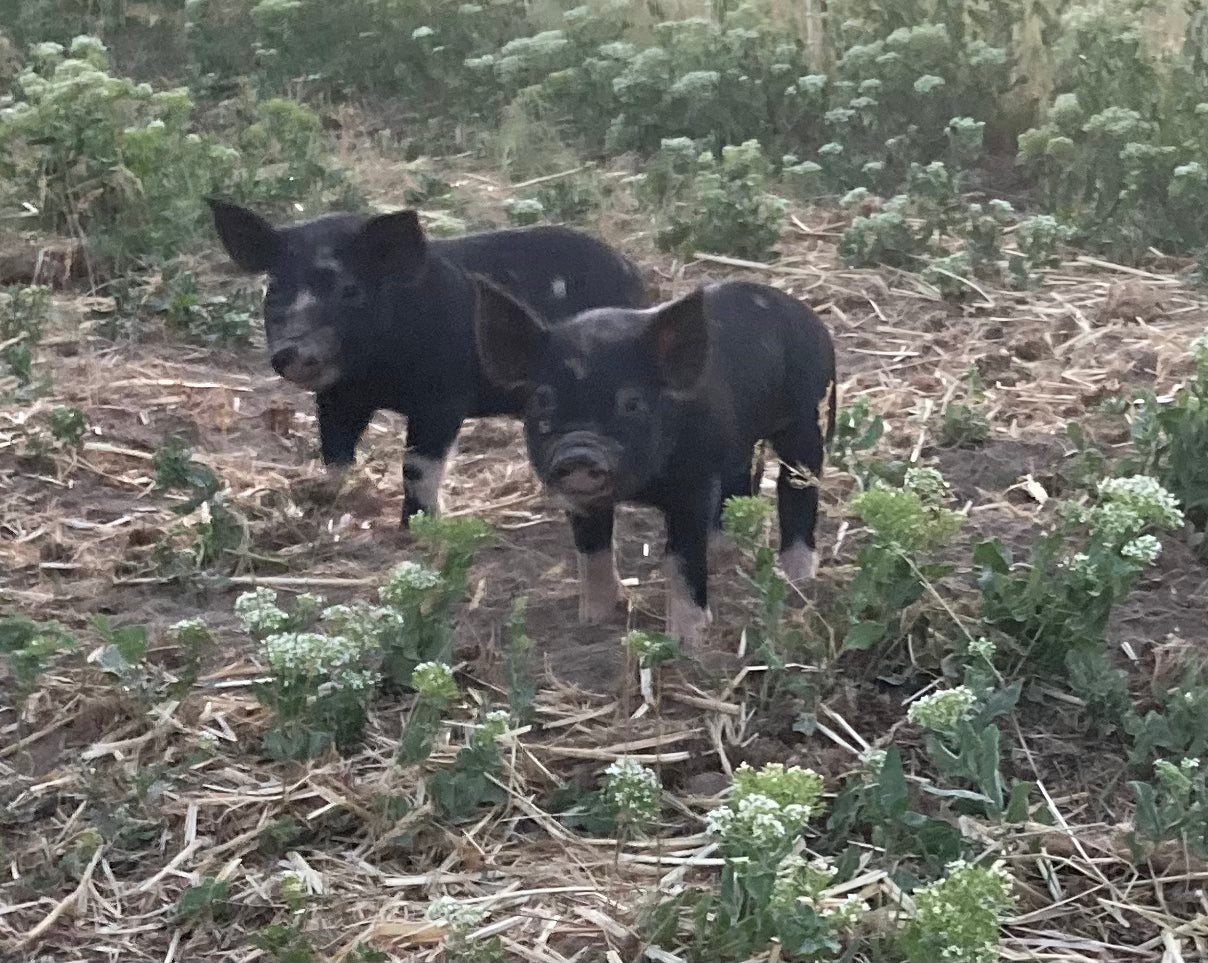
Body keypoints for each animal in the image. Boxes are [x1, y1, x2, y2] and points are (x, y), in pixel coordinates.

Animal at [205, 196, 652, 526]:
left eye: (349, 290)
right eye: (275, 287)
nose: (291, 351)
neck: (378, 376)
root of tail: (633, 274)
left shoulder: (443, 398)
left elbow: (418, 466)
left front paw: (417, 526)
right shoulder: (338, 398)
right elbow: (334, 452)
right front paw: (328, 501)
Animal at [475, 276, 835, 637]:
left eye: (632, 403)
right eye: (542, 400)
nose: (578, 453)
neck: (642, 489)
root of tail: (807, 315)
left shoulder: (693, 484)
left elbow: (681, 558)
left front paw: (687, 637)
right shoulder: (584, 502)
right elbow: (592, 551)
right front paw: (593, 620)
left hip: (806, 418)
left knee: (798, 486)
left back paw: (796, 577)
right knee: (739, 481)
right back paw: (724, 551)